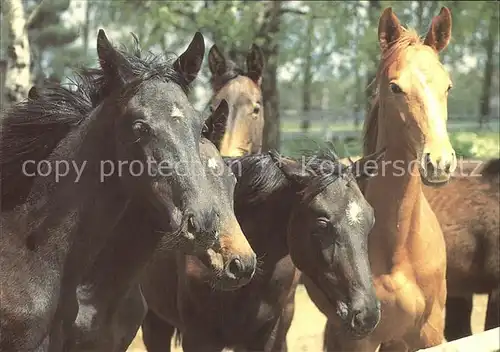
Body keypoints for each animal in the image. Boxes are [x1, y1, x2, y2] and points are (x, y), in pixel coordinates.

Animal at [304, 6, 458, 350]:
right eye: (395, 87)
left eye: (448, 87)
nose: (439, 162)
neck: (397, 250)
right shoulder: (358, 337)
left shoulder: (429, 331)